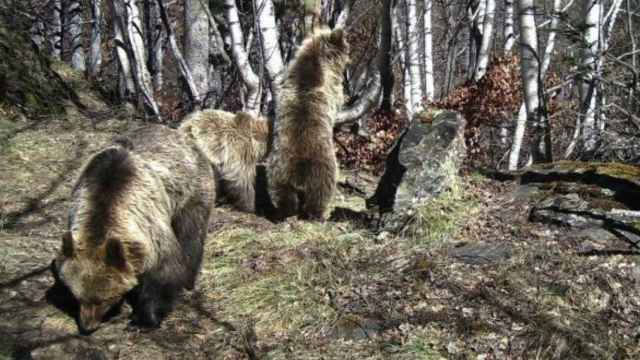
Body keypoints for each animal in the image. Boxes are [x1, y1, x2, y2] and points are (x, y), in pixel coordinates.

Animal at [50, 124, 215, 334]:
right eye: (77, 296)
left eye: (103, 299)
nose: (87, 326)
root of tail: (177, 132)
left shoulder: (150, 226)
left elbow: (164, 271)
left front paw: (143, 319)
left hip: (191, 191)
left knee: (191, 235)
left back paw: (188, 279)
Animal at [268, 26, 352, 221]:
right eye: (346, 44)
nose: (350, 57)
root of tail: (299, 175)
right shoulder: (330, 83)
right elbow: (337, 96)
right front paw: (346, 98)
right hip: (323, 167)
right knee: (320, 193)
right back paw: (318, 214)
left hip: (278, 170)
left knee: (282, 194)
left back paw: (285, 212)